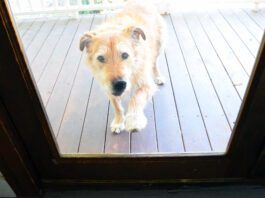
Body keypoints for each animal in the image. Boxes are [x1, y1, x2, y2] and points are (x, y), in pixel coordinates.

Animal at [79, 0, 165, 133]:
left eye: (125, 55)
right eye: (100, 58)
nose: (119, 84)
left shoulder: (147, 85)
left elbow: (136, 98)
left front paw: (134, 119)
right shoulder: (108, 88)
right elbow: (117, 106)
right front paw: (119, 122)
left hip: (159, 47)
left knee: (155, 63)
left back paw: (159, 77)